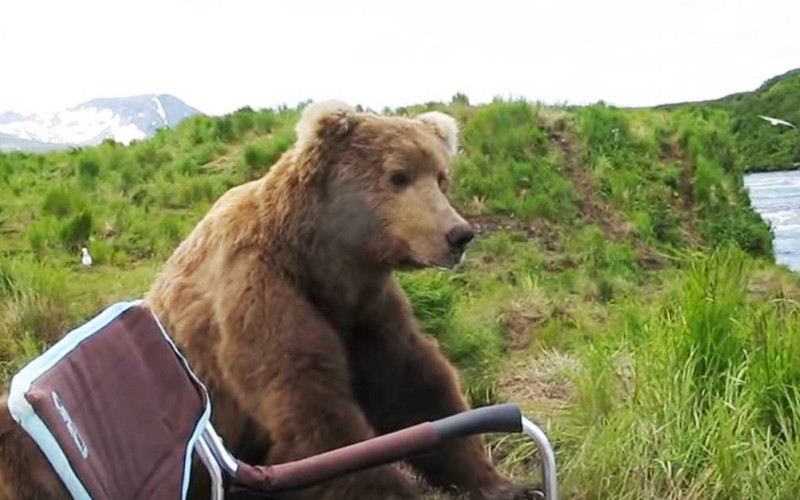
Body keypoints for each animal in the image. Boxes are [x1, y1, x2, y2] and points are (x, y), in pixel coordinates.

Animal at [0, 101, 540, 500]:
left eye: (441, 176)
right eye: (399, 175)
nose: (458, 234)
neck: (320, 260)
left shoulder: (364, 310)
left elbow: (414, 385)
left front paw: (502, 482)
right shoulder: (258, 292)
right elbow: (315, 414)